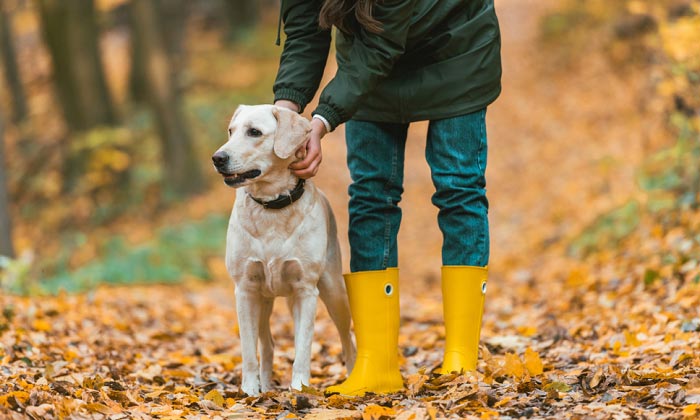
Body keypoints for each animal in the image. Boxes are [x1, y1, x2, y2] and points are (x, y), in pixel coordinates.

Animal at [212, 104, 356, 394]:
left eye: (254, 132)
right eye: (231, 131)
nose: (217, 158)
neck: (271, 206)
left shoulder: (306, 290)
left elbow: (303, 347)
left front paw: (300, 388)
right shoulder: (245, 290)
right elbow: (248, 350)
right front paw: (249, 390)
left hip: (333, 290)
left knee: (347, 337)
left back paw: (352, 375)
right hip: (264, 299)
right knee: (267, 345)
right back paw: (265, 387)